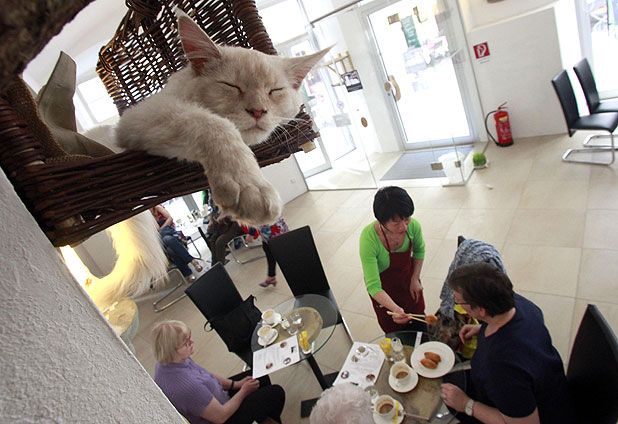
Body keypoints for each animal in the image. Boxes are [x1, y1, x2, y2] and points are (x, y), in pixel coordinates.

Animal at [116, 9, 328, 225]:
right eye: (232, 86)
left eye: (274, 91)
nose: (258, 111)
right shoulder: (142, 115)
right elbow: (216, 125)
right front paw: (250, 186)